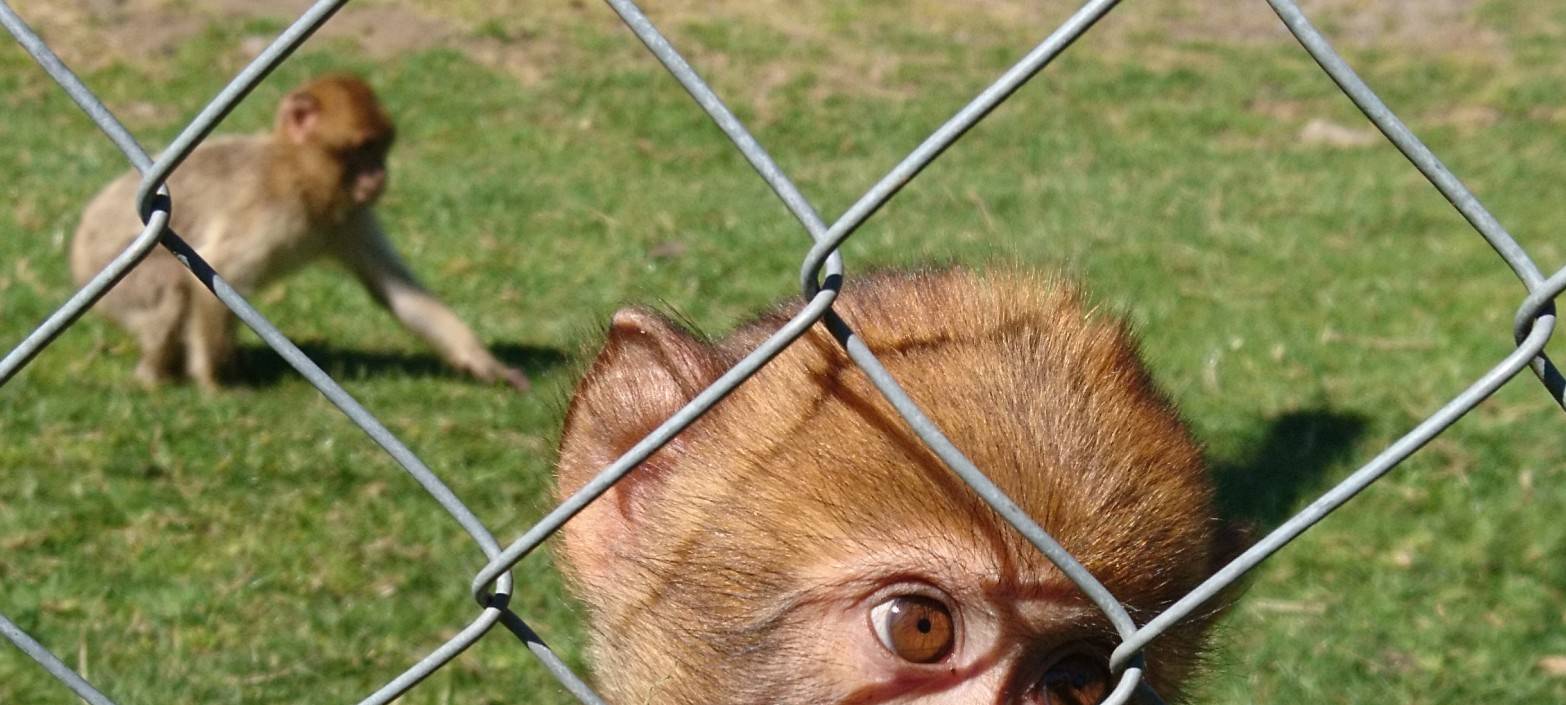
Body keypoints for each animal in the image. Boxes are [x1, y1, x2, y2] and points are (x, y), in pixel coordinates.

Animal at [69, 73, 529, 391]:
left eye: (380, 148)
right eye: (362, 149)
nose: (379, 176)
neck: (301, 176)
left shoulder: (349, 219)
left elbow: (395, 288)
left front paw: (480, 361)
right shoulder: (271, 208)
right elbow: (215, 274)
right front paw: (215, 383)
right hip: (123, 286)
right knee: (169, 292)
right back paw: (155, 376)